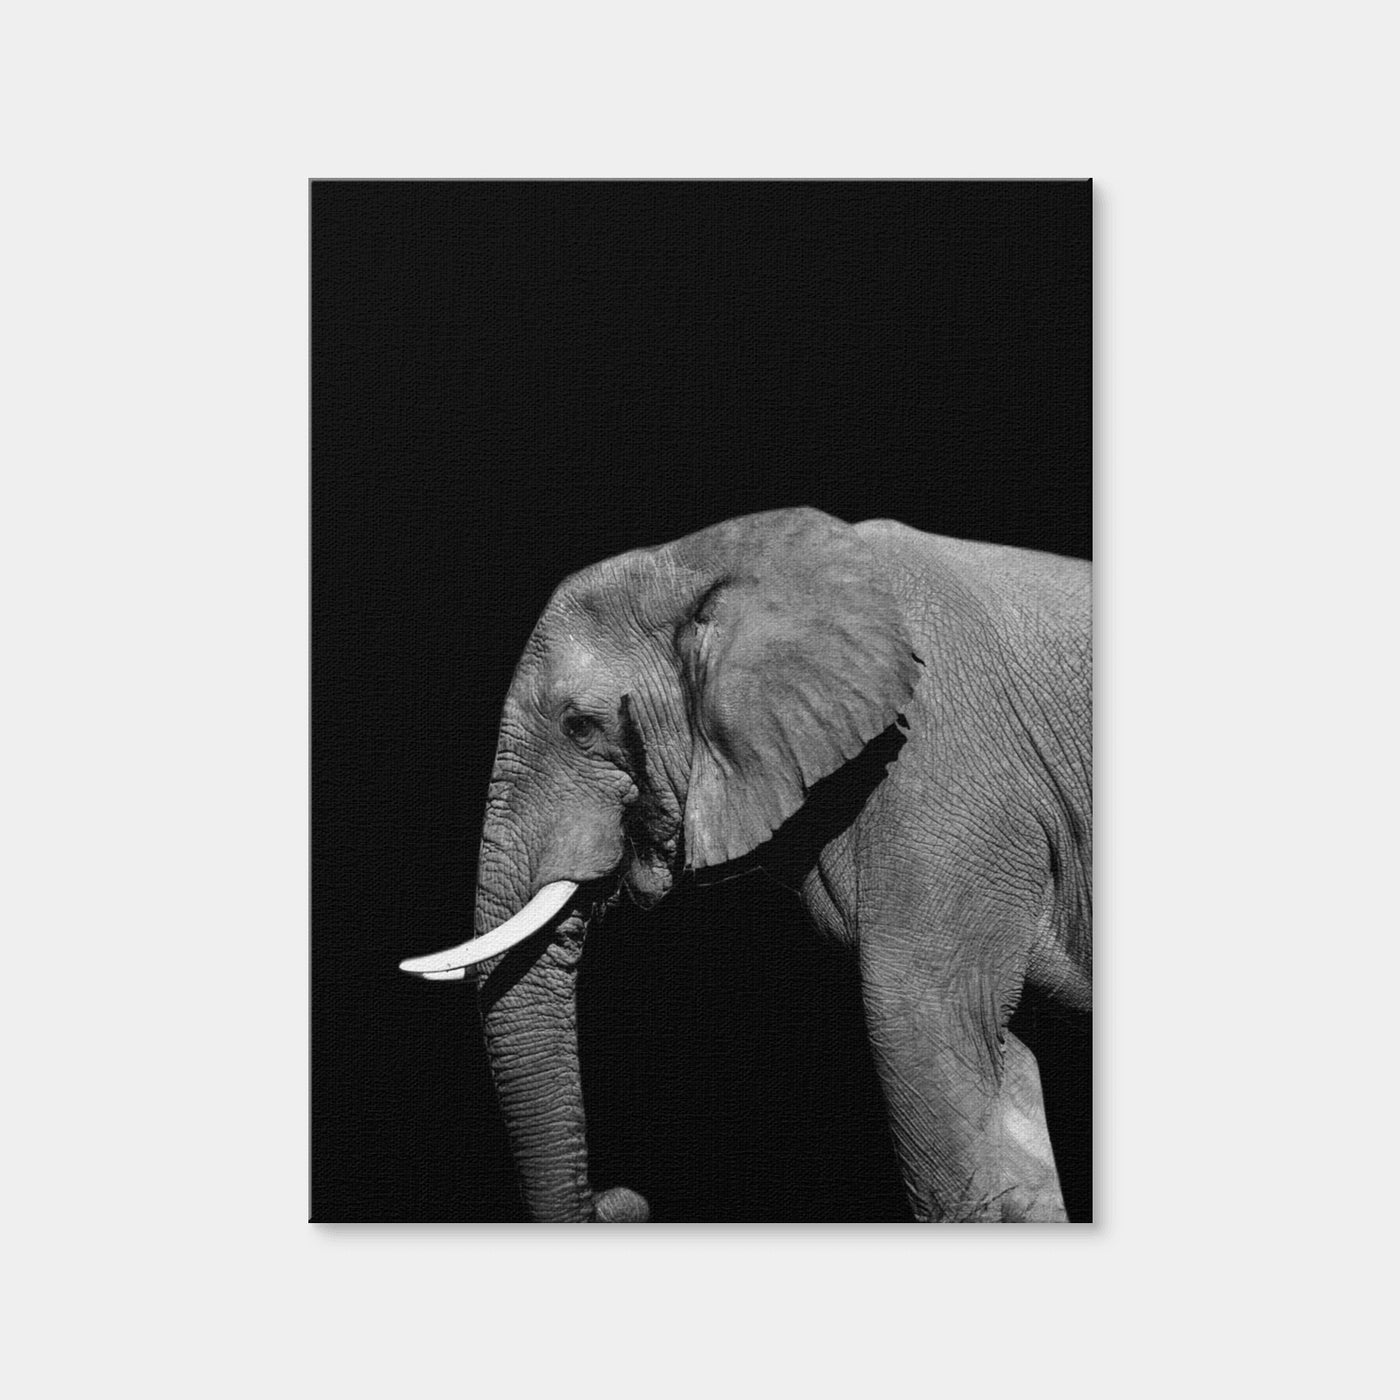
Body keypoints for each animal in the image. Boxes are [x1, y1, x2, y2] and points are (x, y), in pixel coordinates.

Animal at [400, 507, 1091, 1222]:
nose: (624, 1196)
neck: (701, 560)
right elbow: (1005, 1073)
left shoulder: (942, 776)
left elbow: (923, 1026)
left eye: (581, 727)